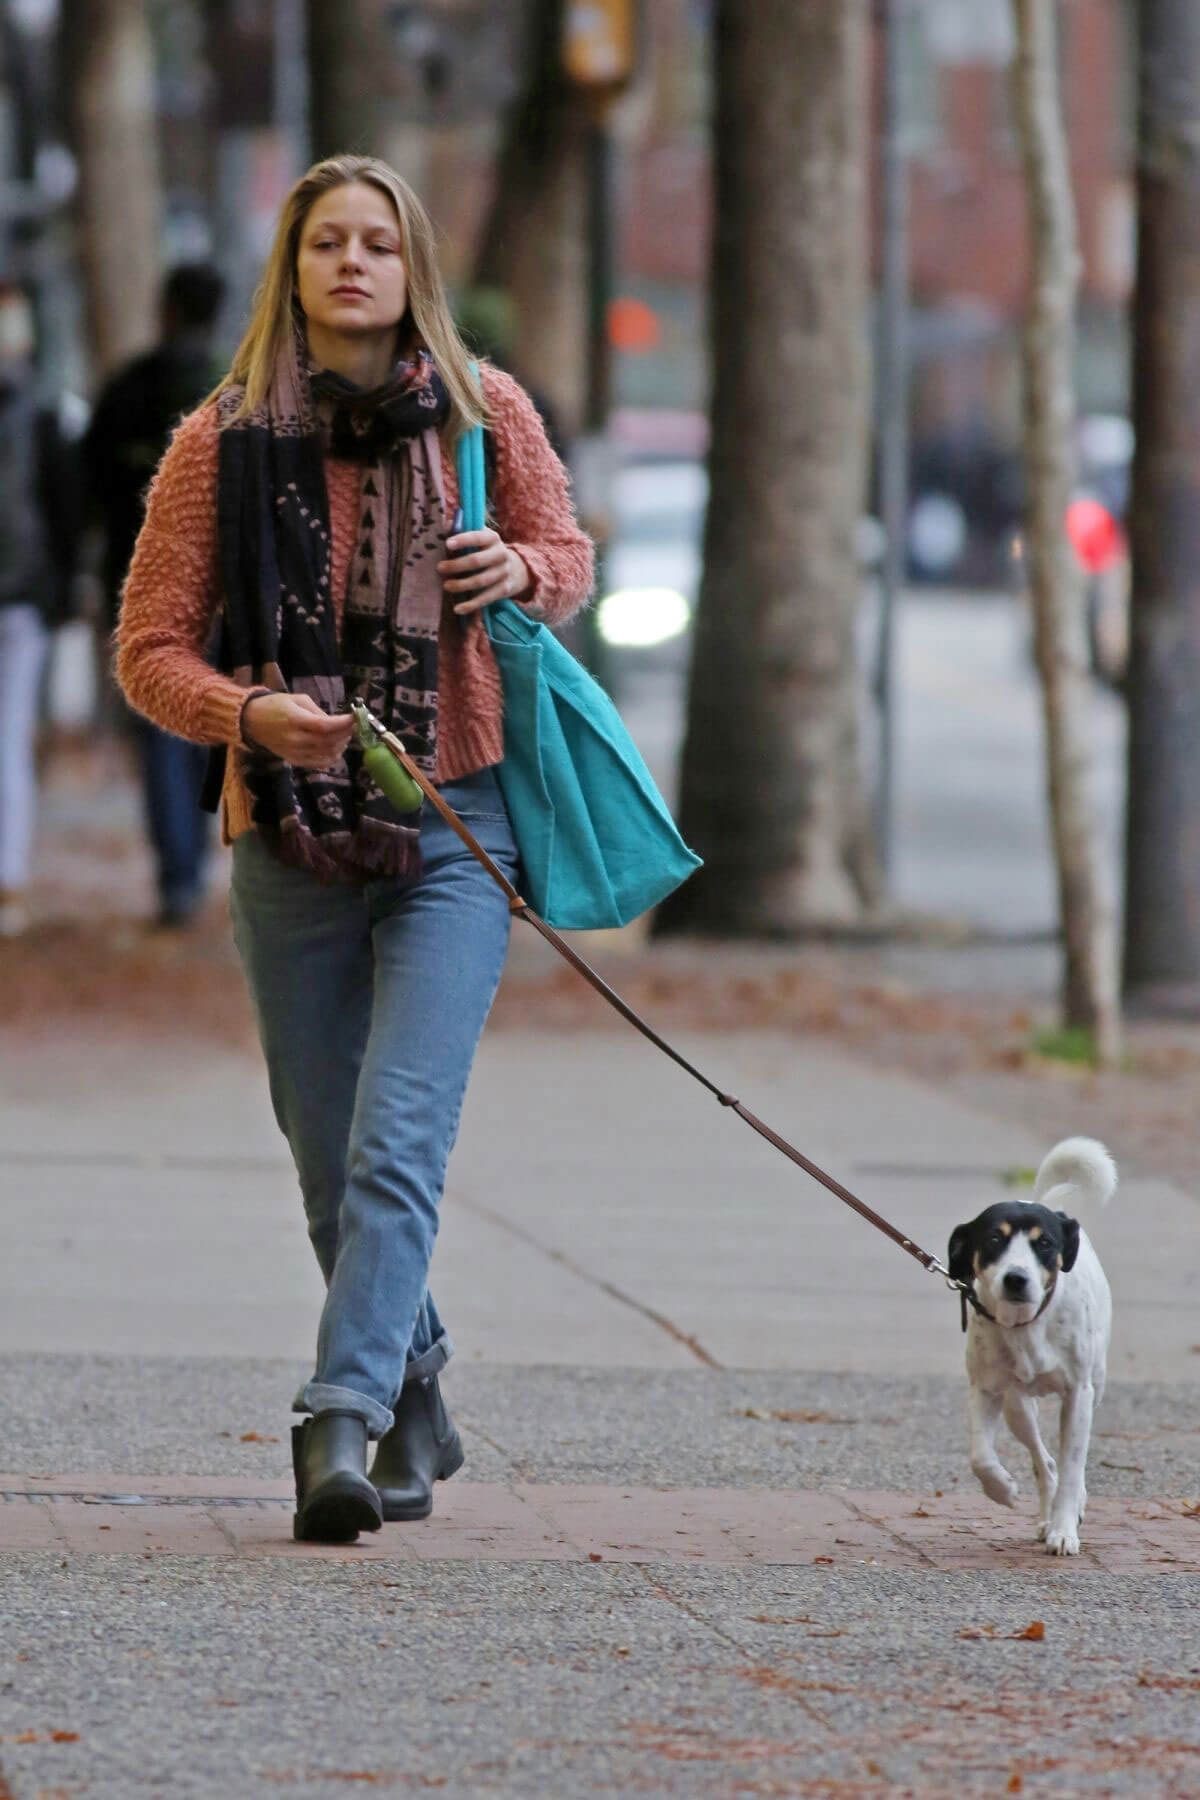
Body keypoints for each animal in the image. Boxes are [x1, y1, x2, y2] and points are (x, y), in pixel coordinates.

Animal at [949, 1144, 1115, 1555]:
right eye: (994, 1239)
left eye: (1044, 1243)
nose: (1016, 1278)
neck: (1026, 1326)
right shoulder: (986, 1391)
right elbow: (980, 1457)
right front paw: (1002, 1489)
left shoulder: (1079, 1395)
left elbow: (1074, 1467)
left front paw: (1064, 1531)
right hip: (1018, 1408)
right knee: (1046, 1463)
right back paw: (1045, 1515)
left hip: (1095, 1386)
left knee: (1066, 1466)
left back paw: (1067, 1512)